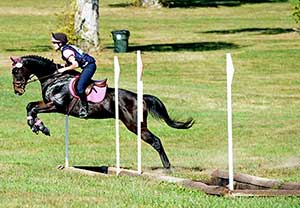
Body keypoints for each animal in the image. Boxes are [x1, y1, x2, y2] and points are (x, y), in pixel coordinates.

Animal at [9, 54, 195, 169]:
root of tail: (140, 97)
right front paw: (37, 126)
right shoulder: (49, 104)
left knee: (156, 141)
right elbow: (30, 106)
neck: (55, 78)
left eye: (16, 71)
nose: (17, 91)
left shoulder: (56, 106)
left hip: (135, 125)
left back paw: (167, 168)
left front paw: (40, 127)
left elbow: (33, 108)